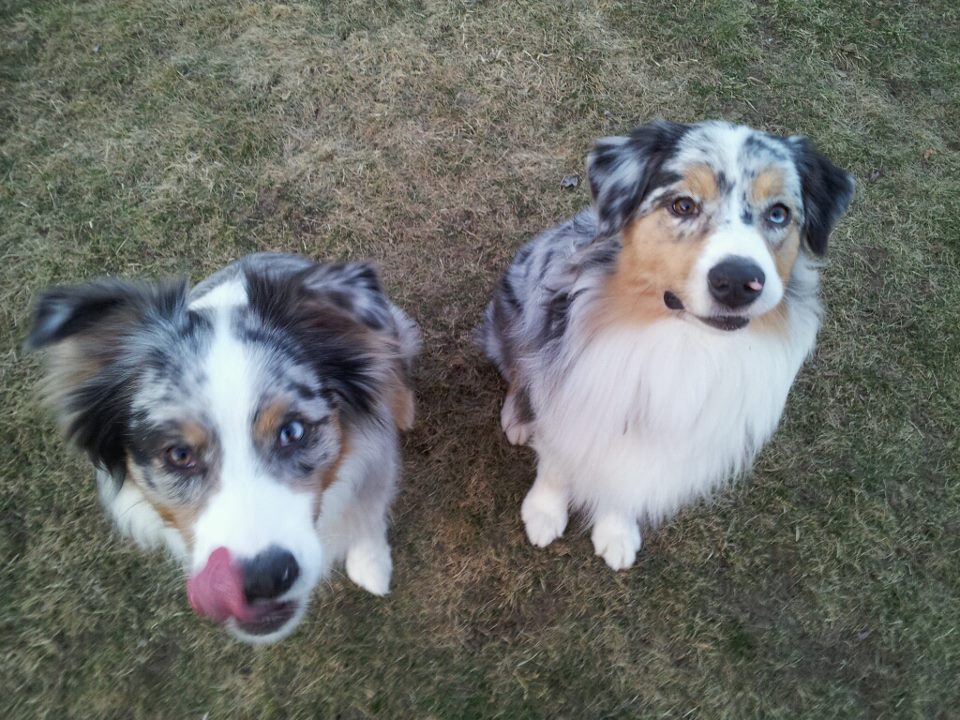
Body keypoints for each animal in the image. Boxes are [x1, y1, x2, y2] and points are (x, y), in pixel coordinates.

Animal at [29, 253, 420, 640]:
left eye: (292, 431)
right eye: (179, 454)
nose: (264, 578)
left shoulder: (376, 465)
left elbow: (369, 518)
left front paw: (372, 566)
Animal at [480, 116, 856, 568]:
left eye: (779, 213)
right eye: (683, 206)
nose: (737, 281)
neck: (686, 343)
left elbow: (627, 481)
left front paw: (616, 532)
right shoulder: (567, 395)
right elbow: (555, 461)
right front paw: (543, 513)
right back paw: (517, 419)